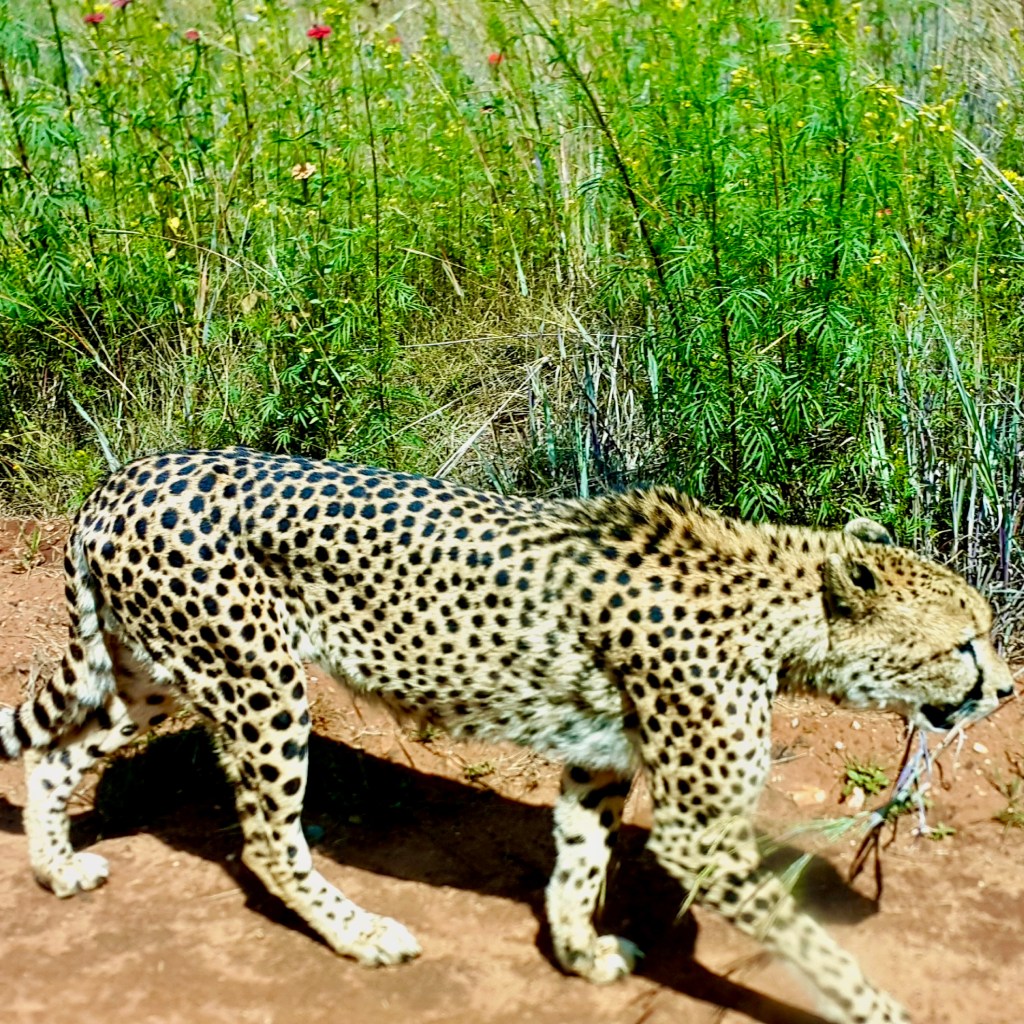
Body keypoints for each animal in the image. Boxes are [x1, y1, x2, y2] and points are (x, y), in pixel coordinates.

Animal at [1, 447, 1015, 1024]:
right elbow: (814, 947)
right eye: (963, 643)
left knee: (54, 754)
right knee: (265, 839)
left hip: (155, 676)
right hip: (258, 684)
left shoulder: (599, 760)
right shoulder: (702, 834)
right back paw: (360, 933)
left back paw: (57, 868)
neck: (784, 607)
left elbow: (579, 861)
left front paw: (579, 953)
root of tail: (121, 479)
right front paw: (880, 1009)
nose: (1006, 688)